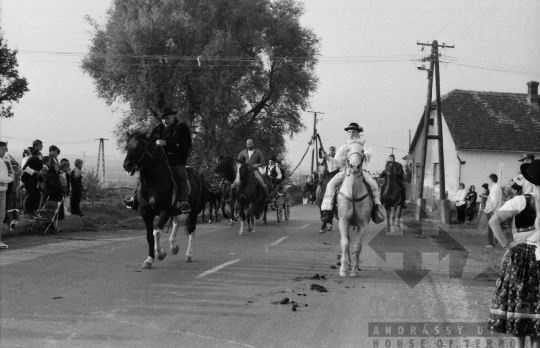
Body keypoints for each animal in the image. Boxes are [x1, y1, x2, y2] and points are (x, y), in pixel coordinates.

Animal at [123, 133, 206, 270]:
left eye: (139, 147)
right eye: (127, 146)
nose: (127, 165)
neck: (152, 182)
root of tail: (198, 173)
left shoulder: (165, 211)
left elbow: (156, 231)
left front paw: (161, 253)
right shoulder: (146, 213)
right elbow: (149, 236)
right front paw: (149, 260)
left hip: (194, 210)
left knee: (191, 230)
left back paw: (188, 255)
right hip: (176, 211)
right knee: (176, 224)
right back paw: (173, 247)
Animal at [336, 141, 374, 278]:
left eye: (362, 151)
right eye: (348, 150)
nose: (354, 166)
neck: (353, 194)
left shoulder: (363, 224)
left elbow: (357, 246)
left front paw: (355, 270)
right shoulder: (343, 221)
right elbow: (345, 242)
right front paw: (342, 269)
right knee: (346, 240)